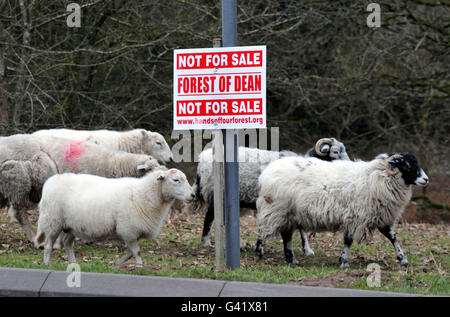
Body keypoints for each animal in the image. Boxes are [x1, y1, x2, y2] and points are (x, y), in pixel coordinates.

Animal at [35, 168, 195, 264]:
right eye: (175, 180)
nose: (193, 195)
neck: (144, 194)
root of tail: (50, 180)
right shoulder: (128, 230)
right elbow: (136, 252)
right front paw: (140, 266)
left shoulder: (132, 233)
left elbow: (130, 252)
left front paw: (117, 264)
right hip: (53, 221)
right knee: (48, 245)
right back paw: (47, 264)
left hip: (72, 226)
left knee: (67, 243)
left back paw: (73, 263)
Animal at [192, 136, 350, 252]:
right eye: (335, 152)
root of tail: (202, 159)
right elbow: (302, 229)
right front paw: (308, 249)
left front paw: (307, 250)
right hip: (218, 194)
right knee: (211, 217)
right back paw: (213, 243)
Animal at [256, 152, 428, 266]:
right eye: (406, 164)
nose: (426, 179)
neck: (379, 177)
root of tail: (267, 172)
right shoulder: (354, 216)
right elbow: (349, 240)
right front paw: (344, 261)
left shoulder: (380, 217)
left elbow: (393, 237)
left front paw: (403, 259)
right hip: (275, 210)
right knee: (263, 231)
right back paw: (259, 255)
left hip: (288, 214)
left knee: (286, 236)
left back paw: (292, 260)